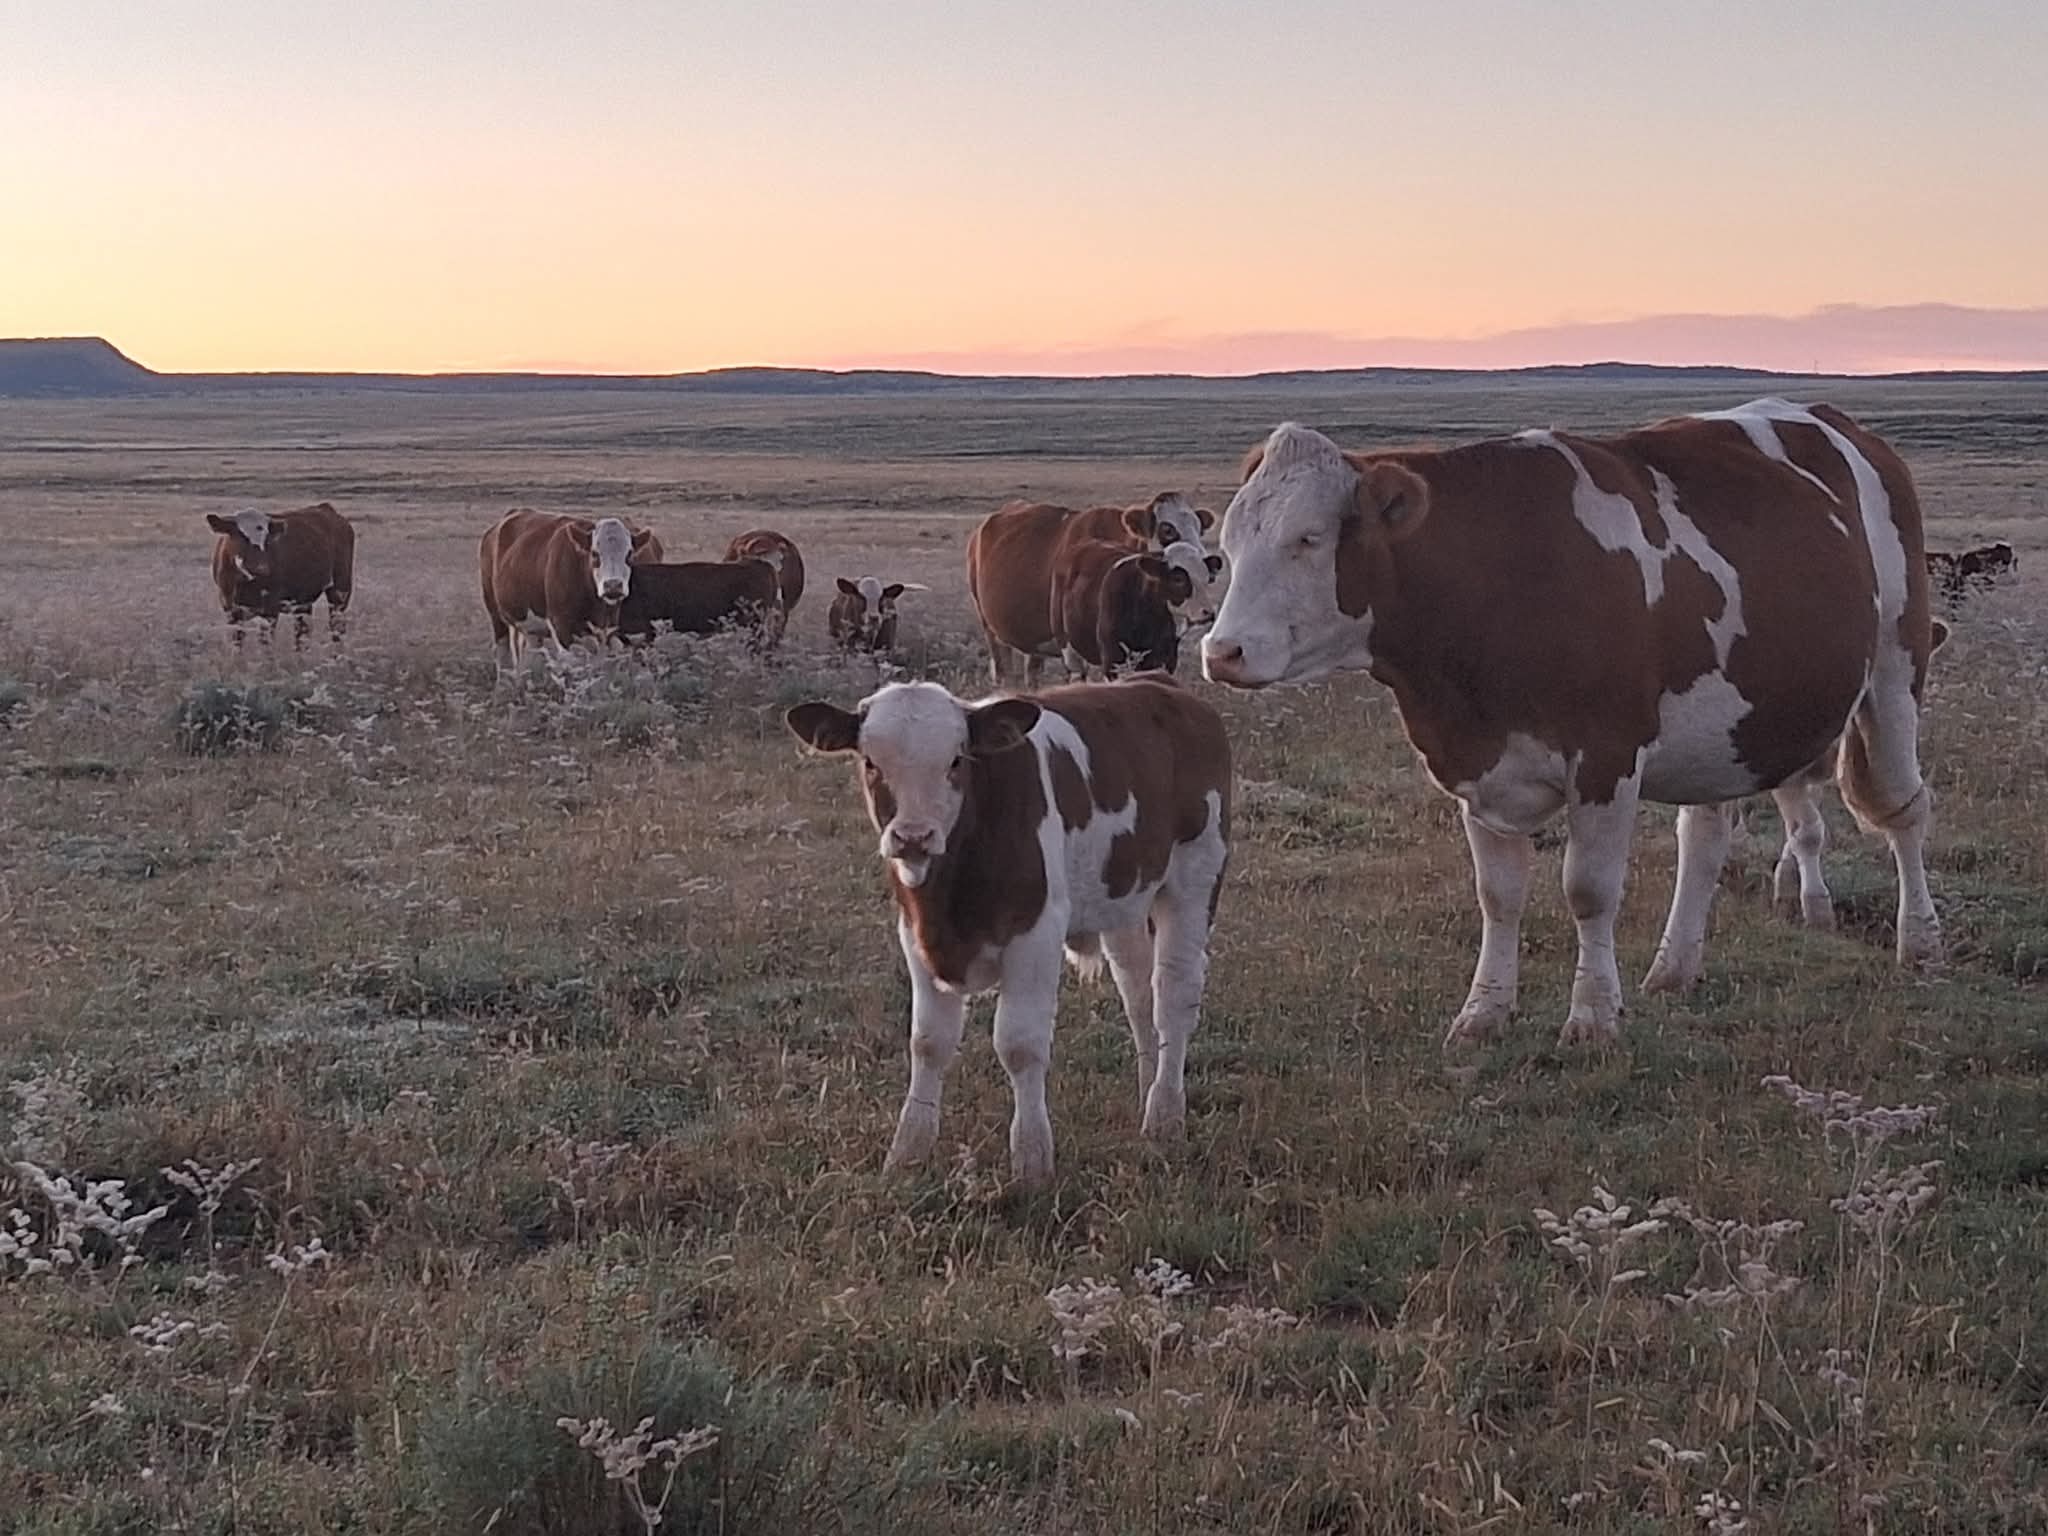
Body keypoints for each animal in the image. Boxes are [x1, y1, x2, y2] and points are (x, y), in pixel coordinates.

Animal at [206, 503, 355, 650]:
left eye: (268, 540)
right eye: (241, 535)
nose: (262, 568)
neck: (241, 583)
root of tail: (327, 509)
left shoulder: (270, 610)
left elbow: (266, 645)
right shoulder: (231, 610)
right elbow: (237, 644)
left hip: (340, 591)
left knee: (337, 627)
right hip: (303, 602)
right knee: (302, 632)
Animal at [478, 509, 662, 669]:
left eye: (629, 554)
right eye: (594, 554)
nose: (613, 585)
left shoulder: (609, 631)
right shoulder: (562, 627)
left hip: (530, 626)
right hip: (495, 613)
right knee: (503, 653)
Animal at [784, 675, 1232, 1186]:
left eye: (956, 759)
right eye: (870, 762)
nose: (913, 837)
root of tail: (1161, 684)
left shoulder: (1035, 933)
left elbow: (1020, 1045)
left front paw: (1032, 1160)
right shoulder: (914, 935)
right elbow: (927, 1043)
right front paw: (908, 1151)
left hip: (1195, 877)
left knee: (1174, 996)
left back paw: (1165, 1115)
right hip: (1124, 898)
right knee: (1139, 996)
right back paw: (1148, 1092)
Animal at [1201, 398, 1945, 1048]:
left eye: (1308, 539)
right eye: (1229, 543)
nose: (1220, 651)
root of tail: (1837, 421)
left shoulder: (1606, 755)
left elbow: (1588, 891)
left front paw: (1591, 1018)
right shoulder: (1481, 763)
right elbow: (1498, 896)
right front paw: (1483, 1013)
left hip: (1894, 665)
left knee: (1905, 808)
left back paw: (1920, 941)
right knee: (1705, 837)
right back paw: (1674, 967)